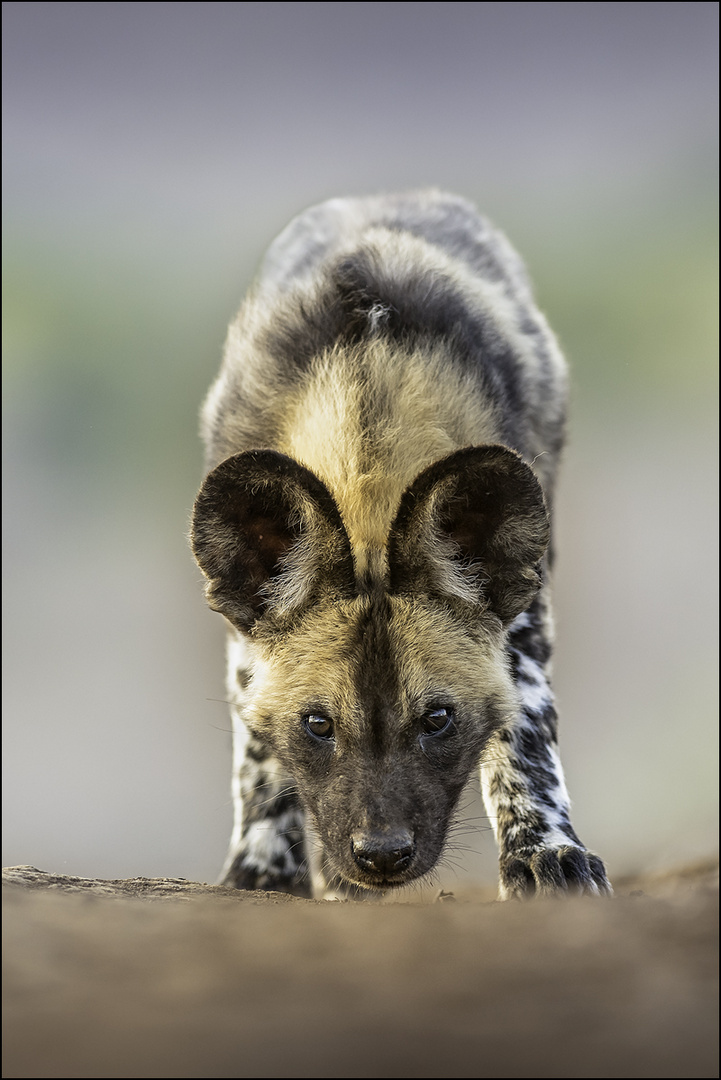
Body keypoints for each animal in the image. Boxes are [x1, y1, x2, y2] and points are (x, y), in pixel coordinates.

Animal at [189, 190, 608, 898]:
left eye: (437, 719)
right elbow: (260, 753)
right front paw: (264, 869)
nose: (380, 857)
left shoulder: (521, 612)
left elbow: (525, 734)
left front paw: (544, 850)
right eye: (318, 725)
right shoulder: (246, 625)